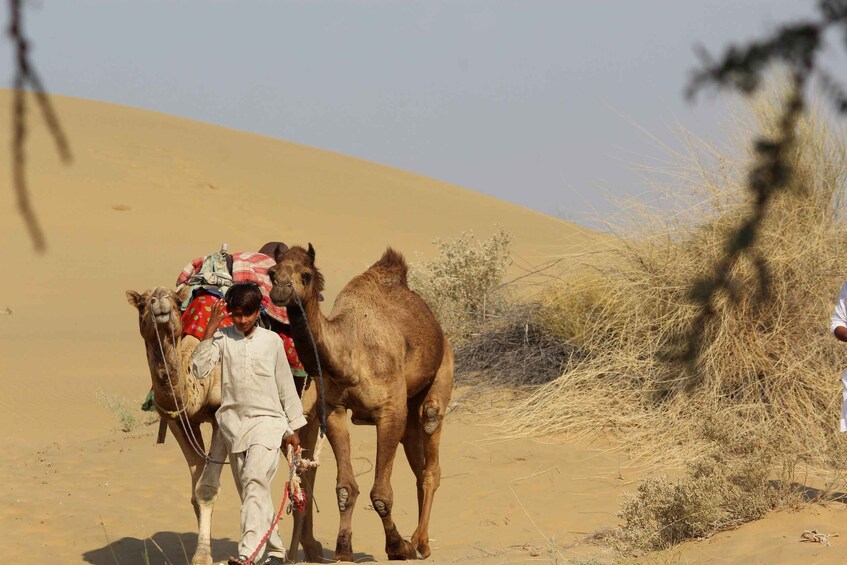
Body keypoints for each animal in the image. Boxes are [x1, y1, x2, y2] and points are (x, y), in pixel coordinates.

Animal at [126, 287, 227, 565]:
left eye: (174, 298)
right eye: (141, 303)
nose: (159, 299)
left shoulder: (222, 415)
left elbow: (206, 488)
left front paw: (202, 557)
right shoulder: (179, 420)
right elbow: (195, 491)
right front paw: (204, 552)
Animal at [268, 244, 454, 561]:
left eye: (305, 274)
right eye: (272, 272)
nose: (281, 289)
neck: (350, 357)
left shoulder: (390, 411)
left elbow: (380, 494)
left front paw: (398, 546)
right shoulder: (334, 409)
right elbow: (345, 489)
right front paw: (343, 550)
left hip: (441, 371)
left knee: (431, 435)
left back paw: (421, 543)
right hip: (408, 411)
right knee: (417, 462)